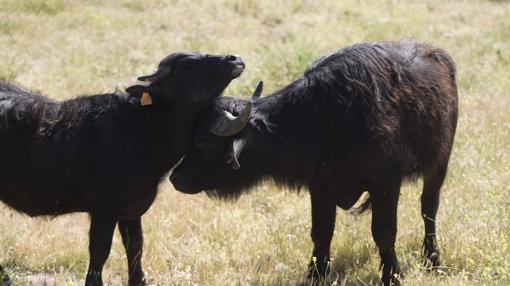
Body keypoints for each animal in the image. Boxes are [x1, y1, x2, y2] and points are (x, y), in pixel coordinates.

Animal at [0, 52, 246, 286]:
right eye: (187, 65)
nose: (234, 59)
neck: (141, 128)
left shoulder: (130, 210)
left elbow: (135, 247)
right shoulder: (104, 207)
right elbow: (100, 251)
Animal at [170, 40, 458, 286]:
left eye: (204, 143)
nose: (175, 178)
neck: (324, 119)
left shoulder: (386, 183)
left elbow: (384, 232)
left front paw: (392, 275)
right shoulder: (321, 187)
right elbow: (321, 233)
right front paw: (315, 275)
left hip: (439, 165)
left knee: (428, 208)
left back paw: (432, 259)